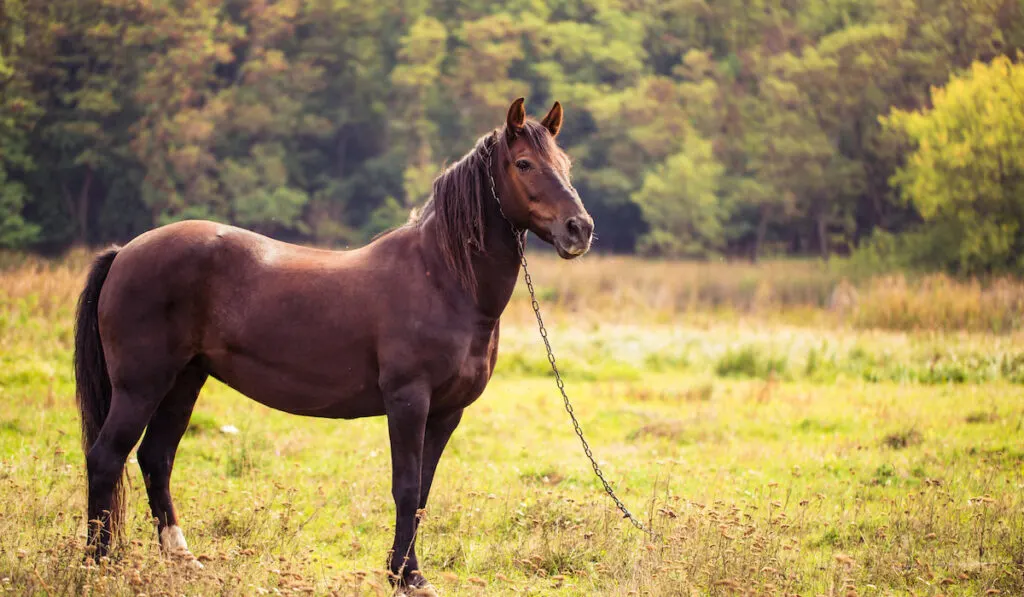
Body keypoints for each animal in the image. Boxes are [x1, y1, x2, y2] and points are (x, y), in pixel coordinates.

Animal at [72, 95, 593, 589]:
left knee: (155, 459)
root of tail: (125, 252)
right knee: (106, 458)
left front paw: (407, 573)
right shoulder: (408, 401)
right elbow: (406, 487)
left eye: (565, 163)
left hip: (184, 381)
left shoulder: (447, 412)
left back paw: (183, 561)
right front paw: (407, 577)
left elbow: (423, 493)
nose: (579, 229)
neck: (443, 278)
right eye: (523, 163)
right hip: (141, 386)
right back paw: (98, 566)